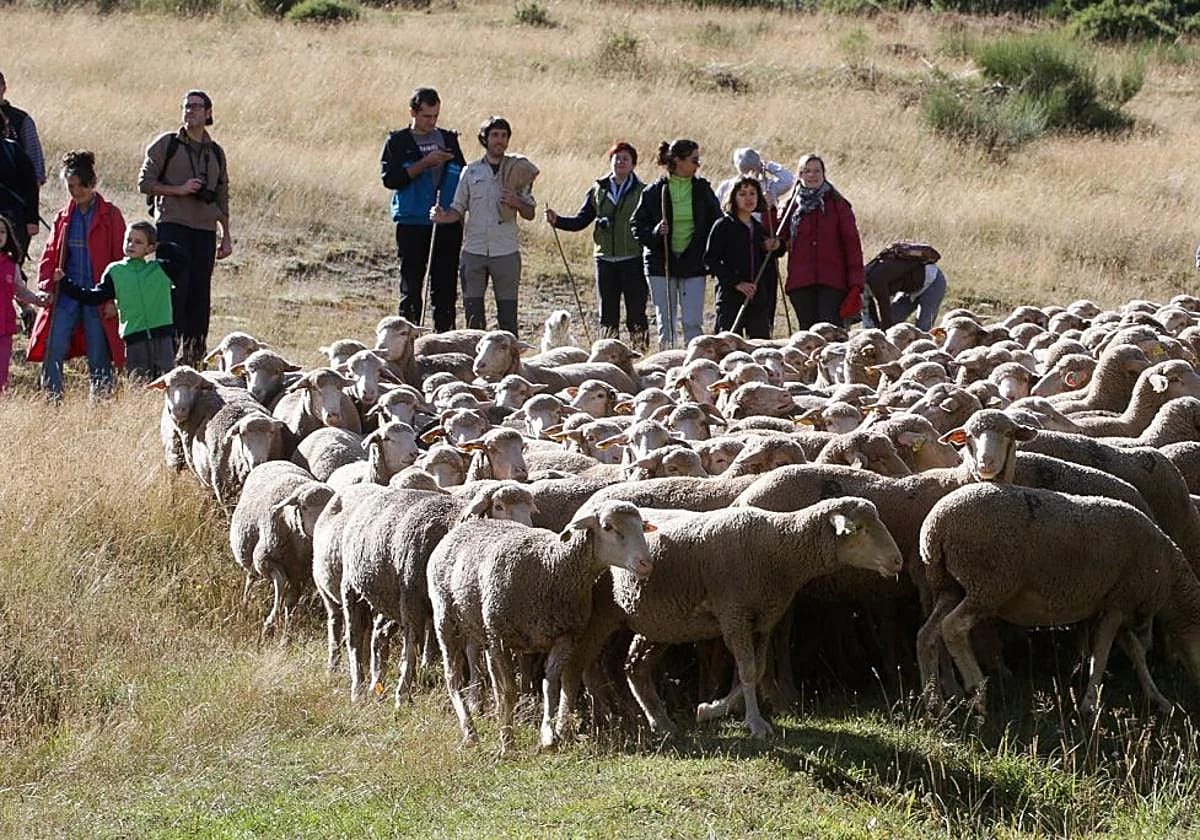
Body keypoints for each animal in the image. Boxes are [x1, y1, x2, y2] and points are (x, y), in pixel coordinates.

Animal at [229, 461, 334, 636]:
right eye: (304, 507)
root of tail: (275, 461)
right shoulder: (264, 560)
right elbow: (280, 580)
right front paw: (270, 621)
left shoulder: (301, 574)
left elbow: (291, 601)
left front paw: (287, 631)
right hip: (251, 559)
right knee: (251, 578)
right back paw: (245, 601)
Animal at [341, 482, 538, 705]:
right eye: (498, 506)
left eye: (530, 510)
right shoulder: (412, 602)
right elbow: (411, 648)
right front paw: (402, 695)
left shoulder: (461, 605)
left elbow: (472, 649)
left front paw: (474, 699)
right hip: (352, 587)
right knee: (354, 638)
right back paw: (358, 689)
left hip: (390, 597)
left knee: (379, 634)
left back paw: (376, 685)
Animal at [428, 501, 655, 752]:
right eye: (607, 527)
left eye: (642, 527)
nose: (646, 564)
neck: (553, 566)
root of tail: (464, 526)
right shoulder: (501, 636)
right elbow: (509, 691)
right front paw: (507, 743)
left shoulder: (565, 637)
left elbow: (550, 685)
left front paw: (547, 734)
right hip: (446, 617)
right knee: (453, 678)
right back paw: (470, 731)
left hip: (480, 627)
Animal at [578, 498, 901, 737]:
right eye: (859, 528)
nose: (897, 561)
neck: (779, 549)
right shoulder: (734, 613)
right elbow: (747, 671)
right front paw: (756, 724)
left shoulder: (762, 620)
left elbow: (757, 671)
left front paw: (710, 709)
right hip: (600, 617)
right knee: (588, 664)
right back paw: (605, 718)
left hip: (661, 622)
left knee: (635, 667)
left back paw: (662, 723)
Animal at [917, 483, 1200, 715]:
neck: (1168, 576)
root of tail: (936, 526)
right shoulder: (1118, 604)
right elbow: (1102, 654)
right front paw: (1089, 705)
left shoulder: (1114, 603)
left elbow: (1136, 653)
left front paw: (1158, 699)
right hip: (989, 583)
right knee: (953, 628)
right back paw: (977, 692)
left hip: (951, 586)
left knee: (927, 635)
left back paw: (935, 703)